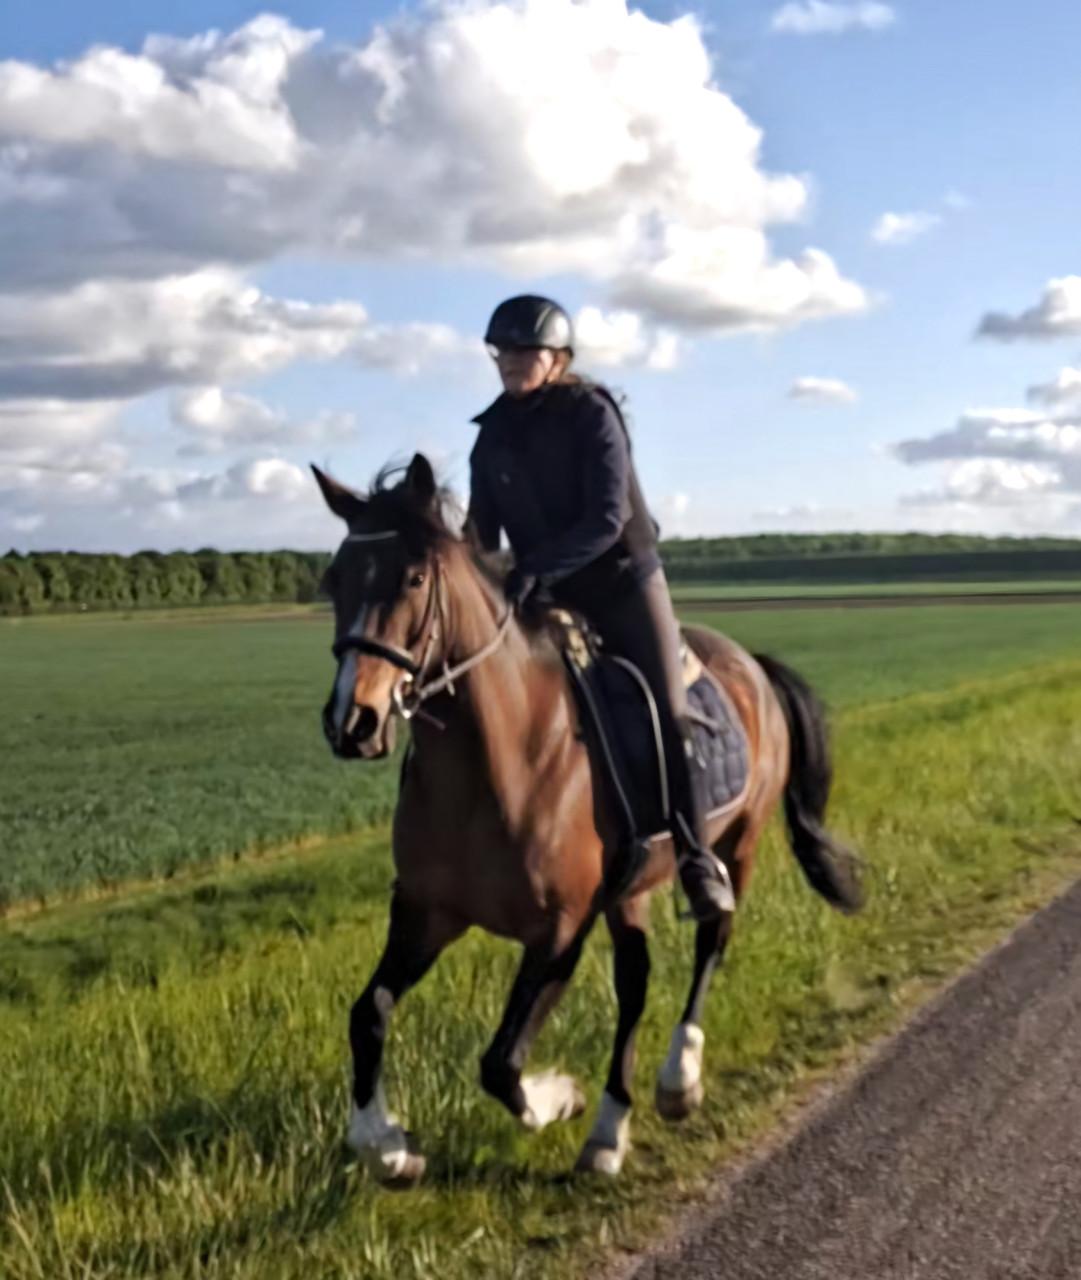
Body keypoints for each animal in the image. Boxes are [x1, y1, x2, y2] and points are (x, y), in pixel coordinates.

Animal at [313, 454, 863, 1182]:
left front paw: (560, 1097)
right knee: (635, 983)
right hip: (630, 891)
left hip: (735, 846)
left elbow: (500, 1063)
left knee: (711, 938)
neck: (493, 765)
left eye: (413, 577)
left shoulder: (559, 930)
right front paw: (388, 1147)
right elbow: (366, 1013)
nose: (352, 722)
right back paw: (609, 1129)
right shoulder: (427, 912)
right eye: (334, 579)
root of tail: (751, 663)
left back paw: (677, 1080)